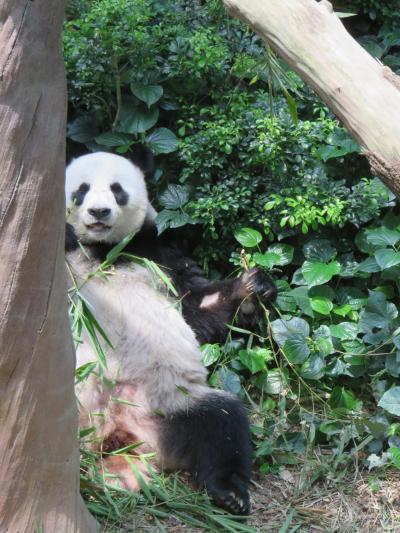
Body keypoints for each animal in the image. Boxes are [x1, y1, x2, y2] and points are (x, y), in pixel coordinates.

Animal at [65, 148, 278, 512]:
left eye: (117, 189)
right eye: (81, 189)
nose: (99, 211)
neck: (102, 248)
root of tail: (115, 431)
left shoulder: (159, 255)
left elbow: (196, 310)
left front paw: (254, 287)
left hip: (168, 403)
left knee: (224, 424)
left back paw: (230, 494)